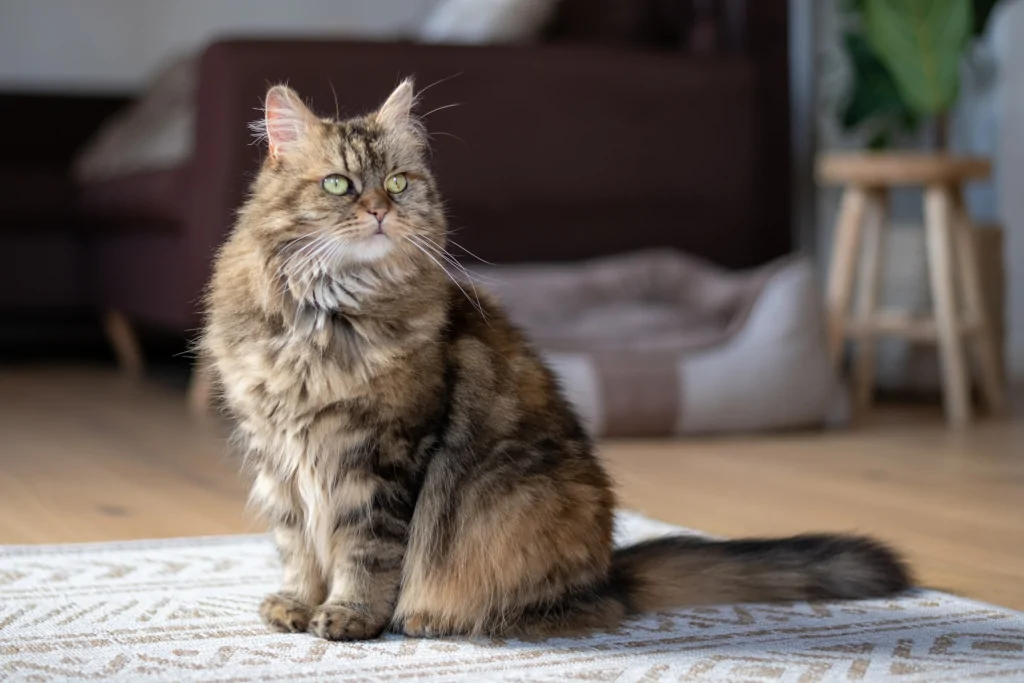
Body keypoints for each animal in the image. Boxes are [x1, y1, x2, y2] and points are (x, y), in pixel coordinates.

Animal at [201, 78, 913, 643]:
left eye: (398, 183)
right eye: (339, 185)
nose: (379, 210)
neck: (323, 320)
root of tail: (612, 573)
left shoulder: (383, 455)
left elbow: (364, 551)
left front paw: (349, 616)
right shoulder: (279, 456)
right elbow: (298, 545)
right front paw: (297, 605)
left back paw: (433, 617)